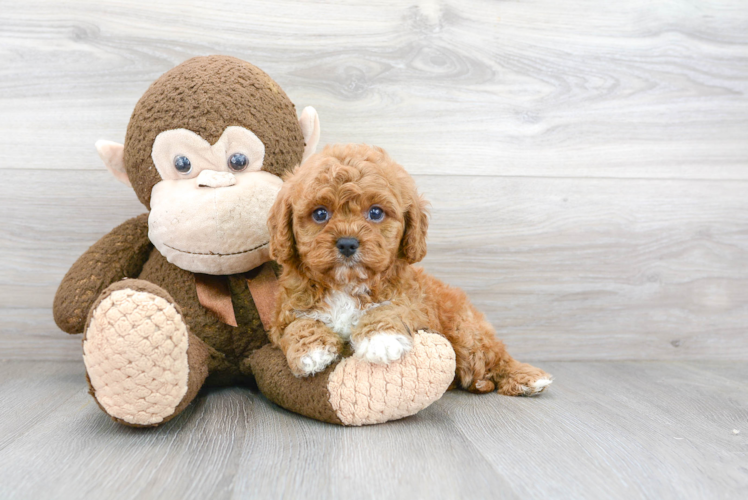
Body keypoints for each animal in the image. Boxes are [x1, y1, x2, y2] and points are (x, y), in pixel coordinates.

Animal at [266, 144, 552, 394]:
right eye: (320, 214)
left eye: (376, 213)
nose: (347, 243)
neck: (346, 285)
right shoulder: (286, 313)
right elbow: (298, 324)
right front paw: (311, 350)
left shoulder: (412, 303)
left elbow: (389, 308)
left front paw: (381, 339)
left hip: (466, 333)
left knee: (494, 356)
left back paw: (525, 378)